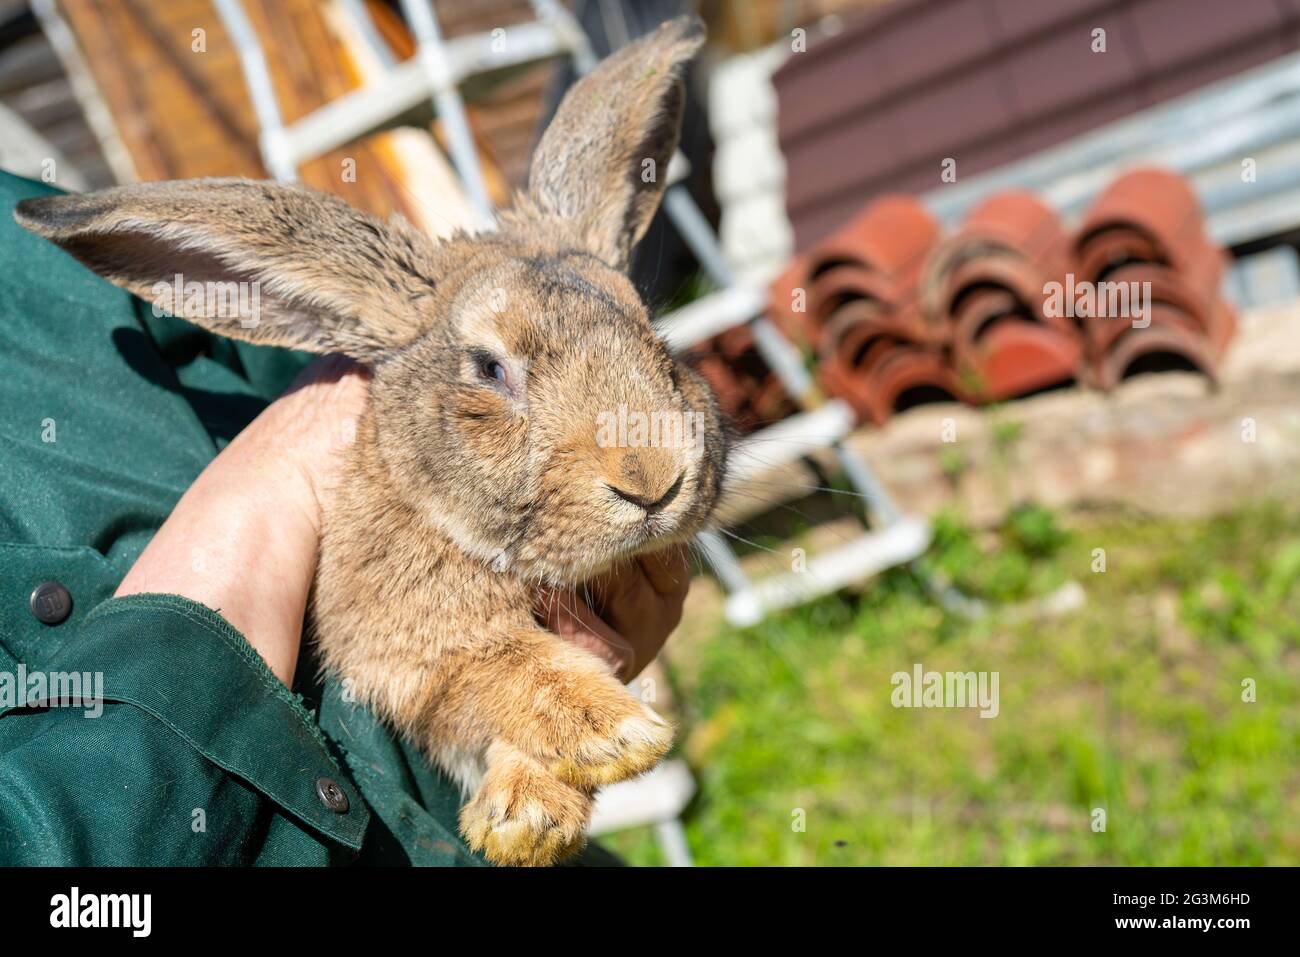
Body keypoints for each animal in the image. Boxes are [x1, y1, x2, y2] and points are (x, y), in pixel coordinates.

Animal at [14, 15, 725, 866]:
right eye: (489, 368)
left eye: (651, 331)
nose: (652, 477)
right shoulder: (396, 633)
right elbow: (487, 665)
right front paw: (605, 740)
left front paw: (526, 812)